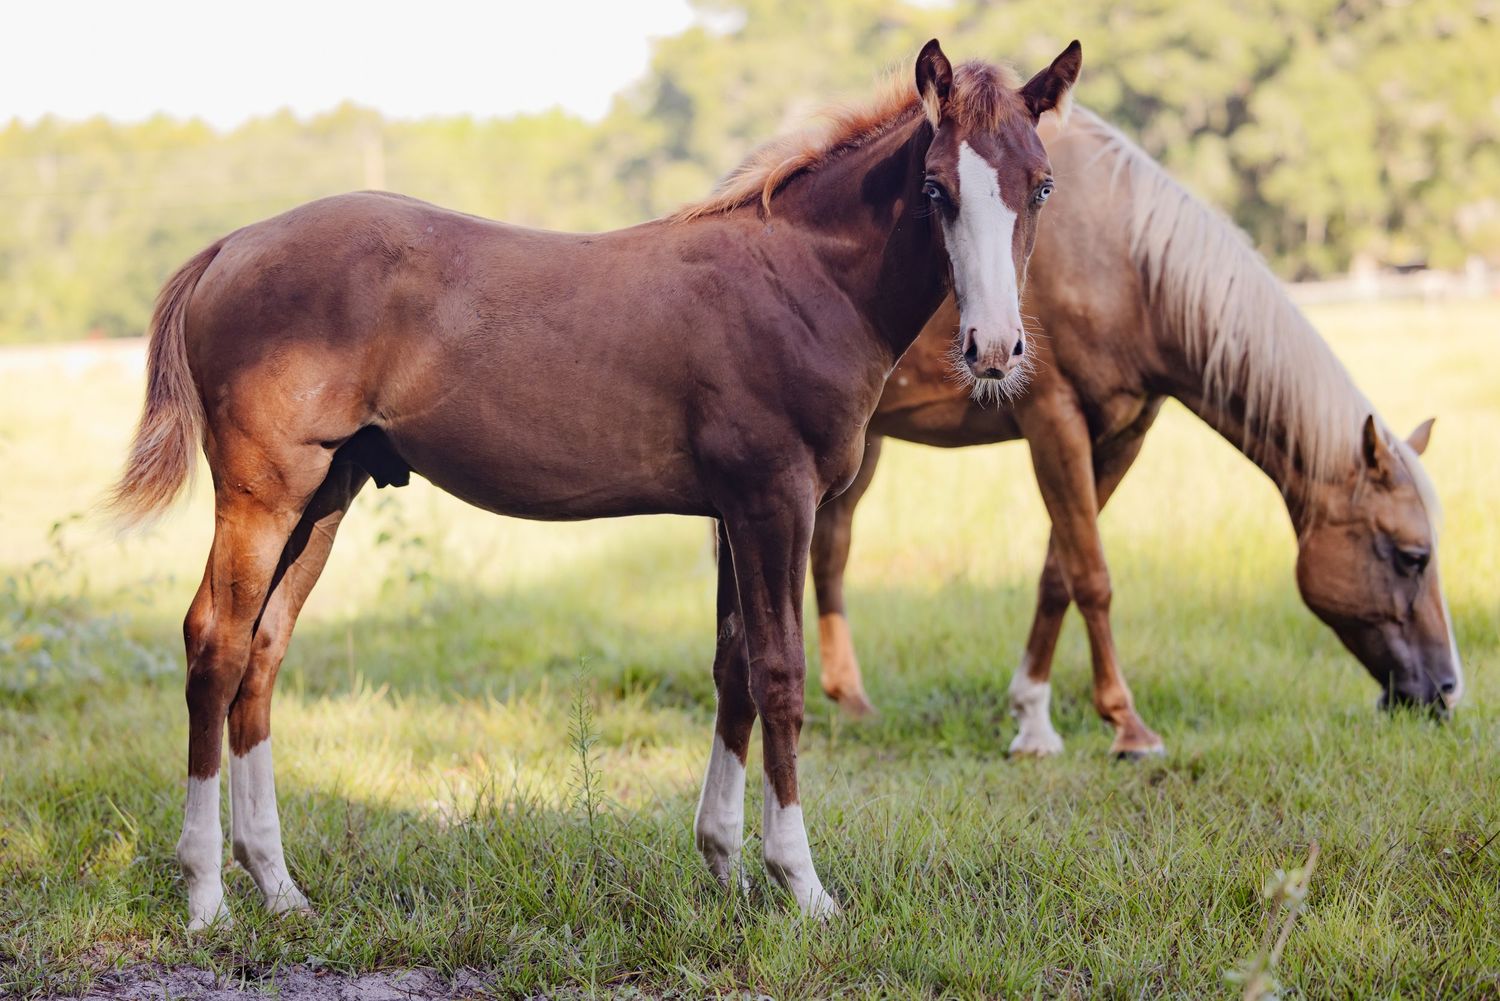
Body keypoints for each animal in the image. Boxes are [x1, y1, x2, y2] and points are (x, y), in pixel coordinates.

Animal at [109, 40, 1083, 927]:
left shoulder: (732, 512)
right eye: (935, 188)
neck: (805, 278)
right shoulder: (777, 502)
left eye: (1040, 186)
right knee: (216, 645)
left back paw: (278, 887)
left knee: (264, 654)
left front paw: (723, 864)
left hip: (323, 498)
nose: (994, 349)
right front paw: (801, 884)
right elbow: (780, 675)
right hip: (265, 494)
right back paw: (206, 895)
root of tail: (230, 245)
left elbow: (732, 668)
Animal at [809, 107, 1463, 755]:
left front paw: (1033, 719)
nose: (1447, 691)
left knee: (832, 548)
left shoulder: (1122, 436)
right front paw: (1125, 725)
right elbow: (1092, 576)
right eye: (1412, 557)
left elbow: (1059, 573)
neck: (1127, 266)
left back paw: (853, 702)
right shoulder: (1054, 424)